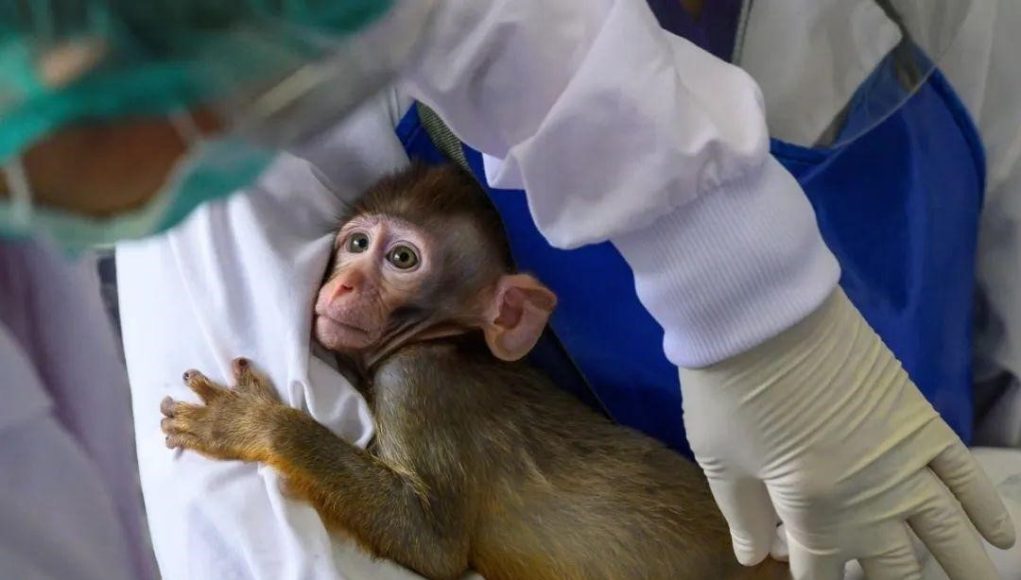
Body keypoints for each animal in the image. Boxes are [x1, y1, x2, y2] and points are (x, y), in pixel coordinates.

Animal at [159, 163, 790, 580]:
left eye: (402, 258)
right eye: (357, 243)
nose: (344, 285)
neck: (447, 341)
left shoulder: (415, 383)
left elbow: (431, 543)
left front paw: (251, 424)